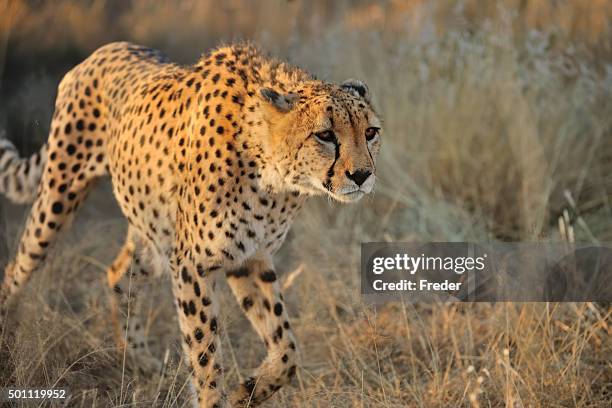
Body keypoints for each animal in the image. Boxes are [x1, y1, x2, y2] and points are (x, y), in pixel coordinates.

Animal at [0, 42, 380, 408]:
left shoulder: (250, 257)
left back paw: (138, 360)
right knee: (17, 267)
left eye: (371, 132)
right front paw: (216, 398)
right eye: (325, 135)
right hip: (57, 198)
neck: (270, 169)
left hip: (152, 231)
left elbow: (286, 348)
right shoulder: (192, 263)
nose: (362, 175)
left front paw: (248, 391)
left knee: (119, 274)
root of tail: (102, 51)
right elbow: (204, 352)